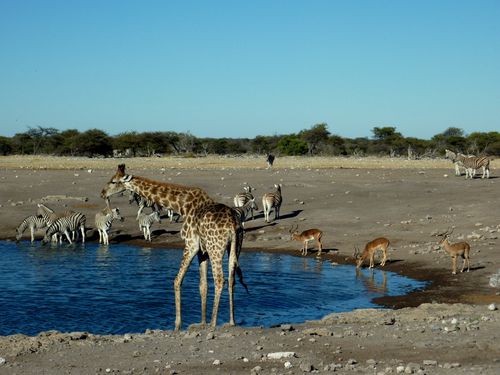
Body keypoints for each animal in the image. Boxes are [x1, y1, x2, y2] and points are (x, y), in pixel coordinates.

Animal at [100, 164, 246, 332]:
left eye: (113, 181)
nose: (102, 193)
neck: (182, 206)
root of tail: (232, 225)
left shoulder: (191, 244)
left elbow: (177, 280)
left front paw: (177, 324)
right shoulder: (202, 251)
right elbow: (202, 285)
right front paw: (202, 322)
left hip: (215, 247)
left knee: (220, 279)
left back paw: (214, 323)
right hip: (235, 246)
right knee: (231, 279)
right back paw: (231, 321)